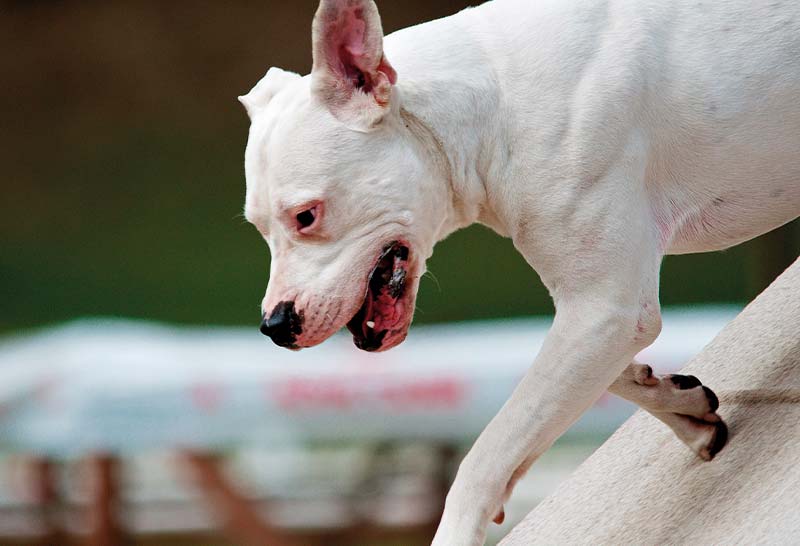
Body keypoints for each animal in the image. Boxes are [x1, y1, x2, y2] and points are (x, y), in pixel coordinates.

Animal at [241, 1, 800, 540]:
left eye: (306, 215)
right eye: (257, 226)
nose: (275, 325)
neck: (490, 109)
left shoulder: (608, 308)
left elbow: (488, 455)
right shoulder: (601, 311)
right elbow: (588, 380)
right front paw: (679, 405)